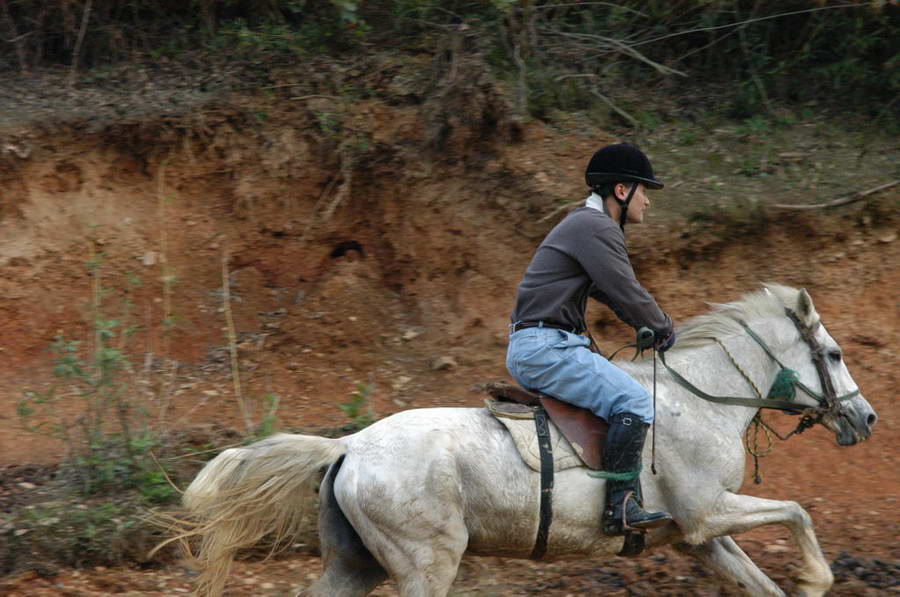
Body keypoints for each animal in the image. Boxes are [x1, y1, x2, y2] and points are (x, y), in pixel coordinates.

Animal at [172, 282, 876, 596]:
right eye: (835, 355)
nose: (867, 420)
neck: (701, 399)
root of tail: (349, 447)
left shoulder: (701, 535)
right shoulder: (708, 512)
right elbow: (798, 510)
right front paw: (815, 578)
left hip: (356, 564)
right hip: (424, 564)